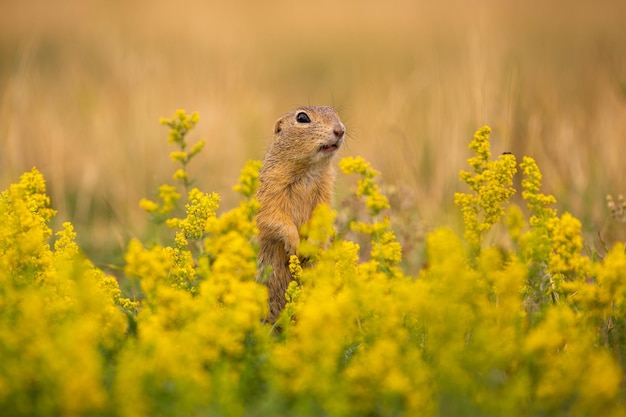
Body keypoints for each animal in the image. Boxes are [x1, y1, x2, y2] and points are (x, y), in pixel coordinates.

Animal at [258, 105, 348, 320]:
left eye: (335, 112)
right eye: (302, 118)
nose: (340, 130)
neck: (309, 171)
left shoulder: (325, 195)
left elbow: (322, 222)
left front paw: (311, 246)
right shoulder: (271, 191)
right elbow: (272, 217)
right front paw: (294, 244)